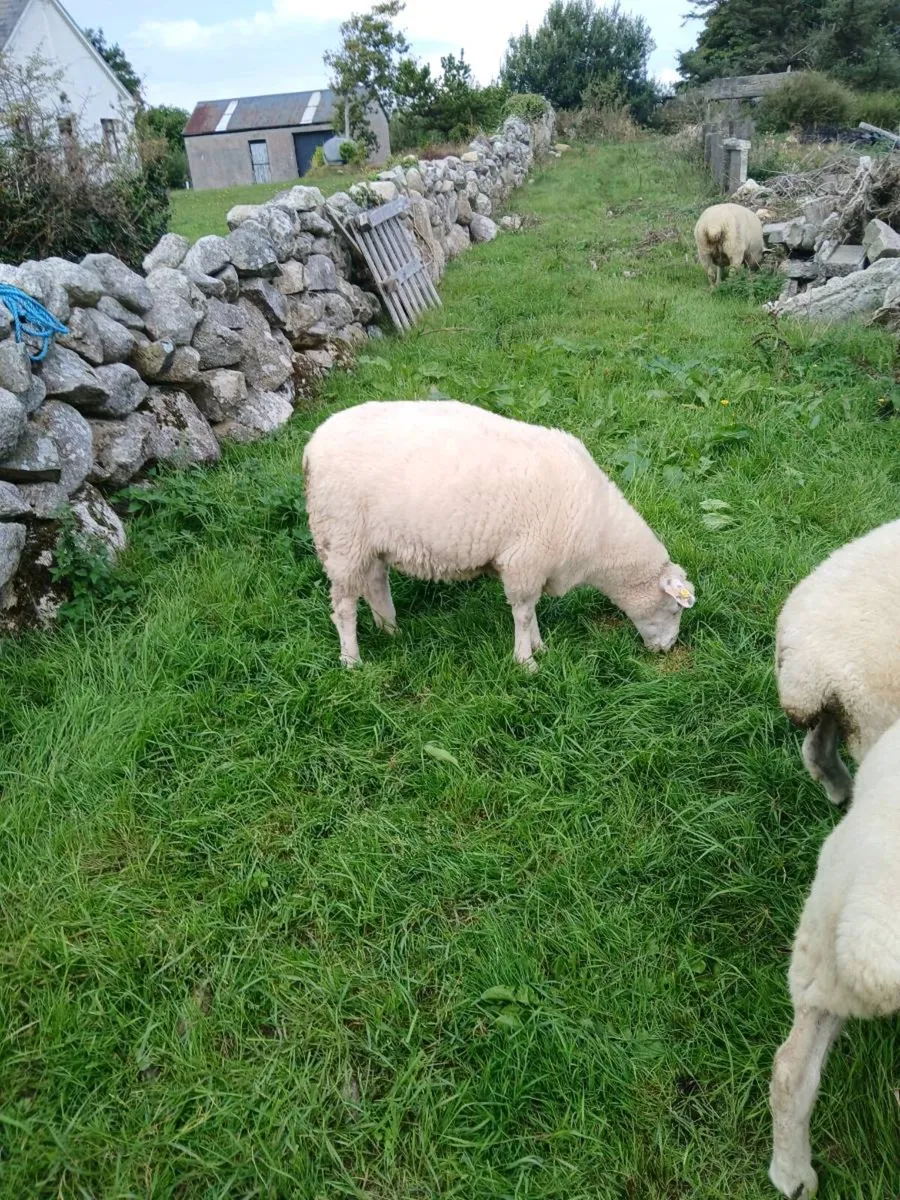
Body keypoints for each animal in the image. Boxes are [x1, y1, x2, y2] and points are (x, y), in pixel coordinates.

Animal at [302, 399, 696, 668]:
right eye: (674, 609)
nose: (667, 649)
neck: (599, 539)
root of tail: (311, 447)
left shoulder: (537, 565)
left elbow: (531, 611)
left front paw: (540, 648)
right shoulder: (526, 560)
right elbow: (523, 612)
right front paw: (526, 661)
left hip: (368, 542)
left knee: (374, 583)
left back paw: (390, 631)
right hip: (341, 537)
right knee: (343, 607)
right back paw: (352, 660)